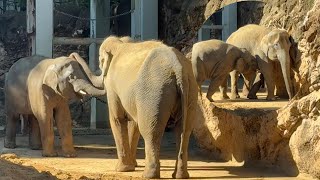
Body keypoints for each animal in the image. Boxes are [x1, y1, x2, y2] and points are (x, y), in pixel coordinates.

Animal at [97, 36, 198, 179]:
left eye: (100, 62)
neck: (120, 43)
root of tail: (178, 68)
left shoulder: (112, 87)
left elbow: (118, 119)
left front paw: (122, 170)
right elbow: (134, 123)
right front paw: (132, 166)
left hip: (154, 94)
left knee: (151, 132)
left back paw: (148, 175)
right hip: (191, 91)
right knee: (184, 130)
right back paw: (180, 175)